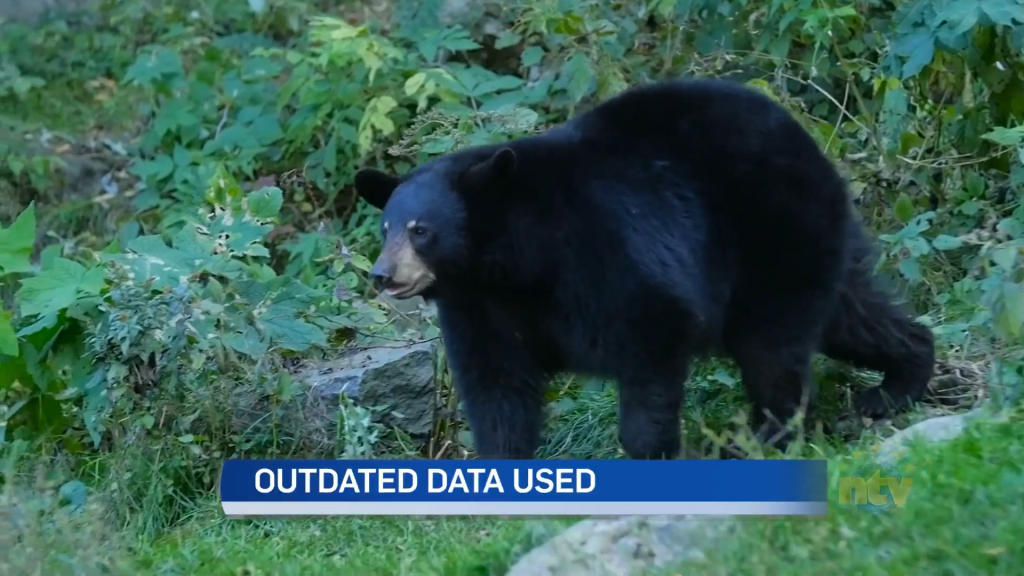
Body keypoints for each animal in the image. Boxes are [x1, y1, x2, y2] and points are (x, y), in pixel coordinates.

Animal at [352, 77, 936, 460]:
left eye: (421, 230)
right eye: (386, 227)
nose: (383, 275)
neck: (514, 264)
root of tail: (803, 135)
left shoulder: (608, 254)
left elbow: (653, 334)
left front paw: (648, 451)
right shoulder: (480, 307)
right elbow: (497, 386)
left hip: (772, 229)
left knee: (773, 345)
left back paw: (765, 437)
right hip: (810, 238)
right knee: (850, 314)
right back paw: (896, 382)